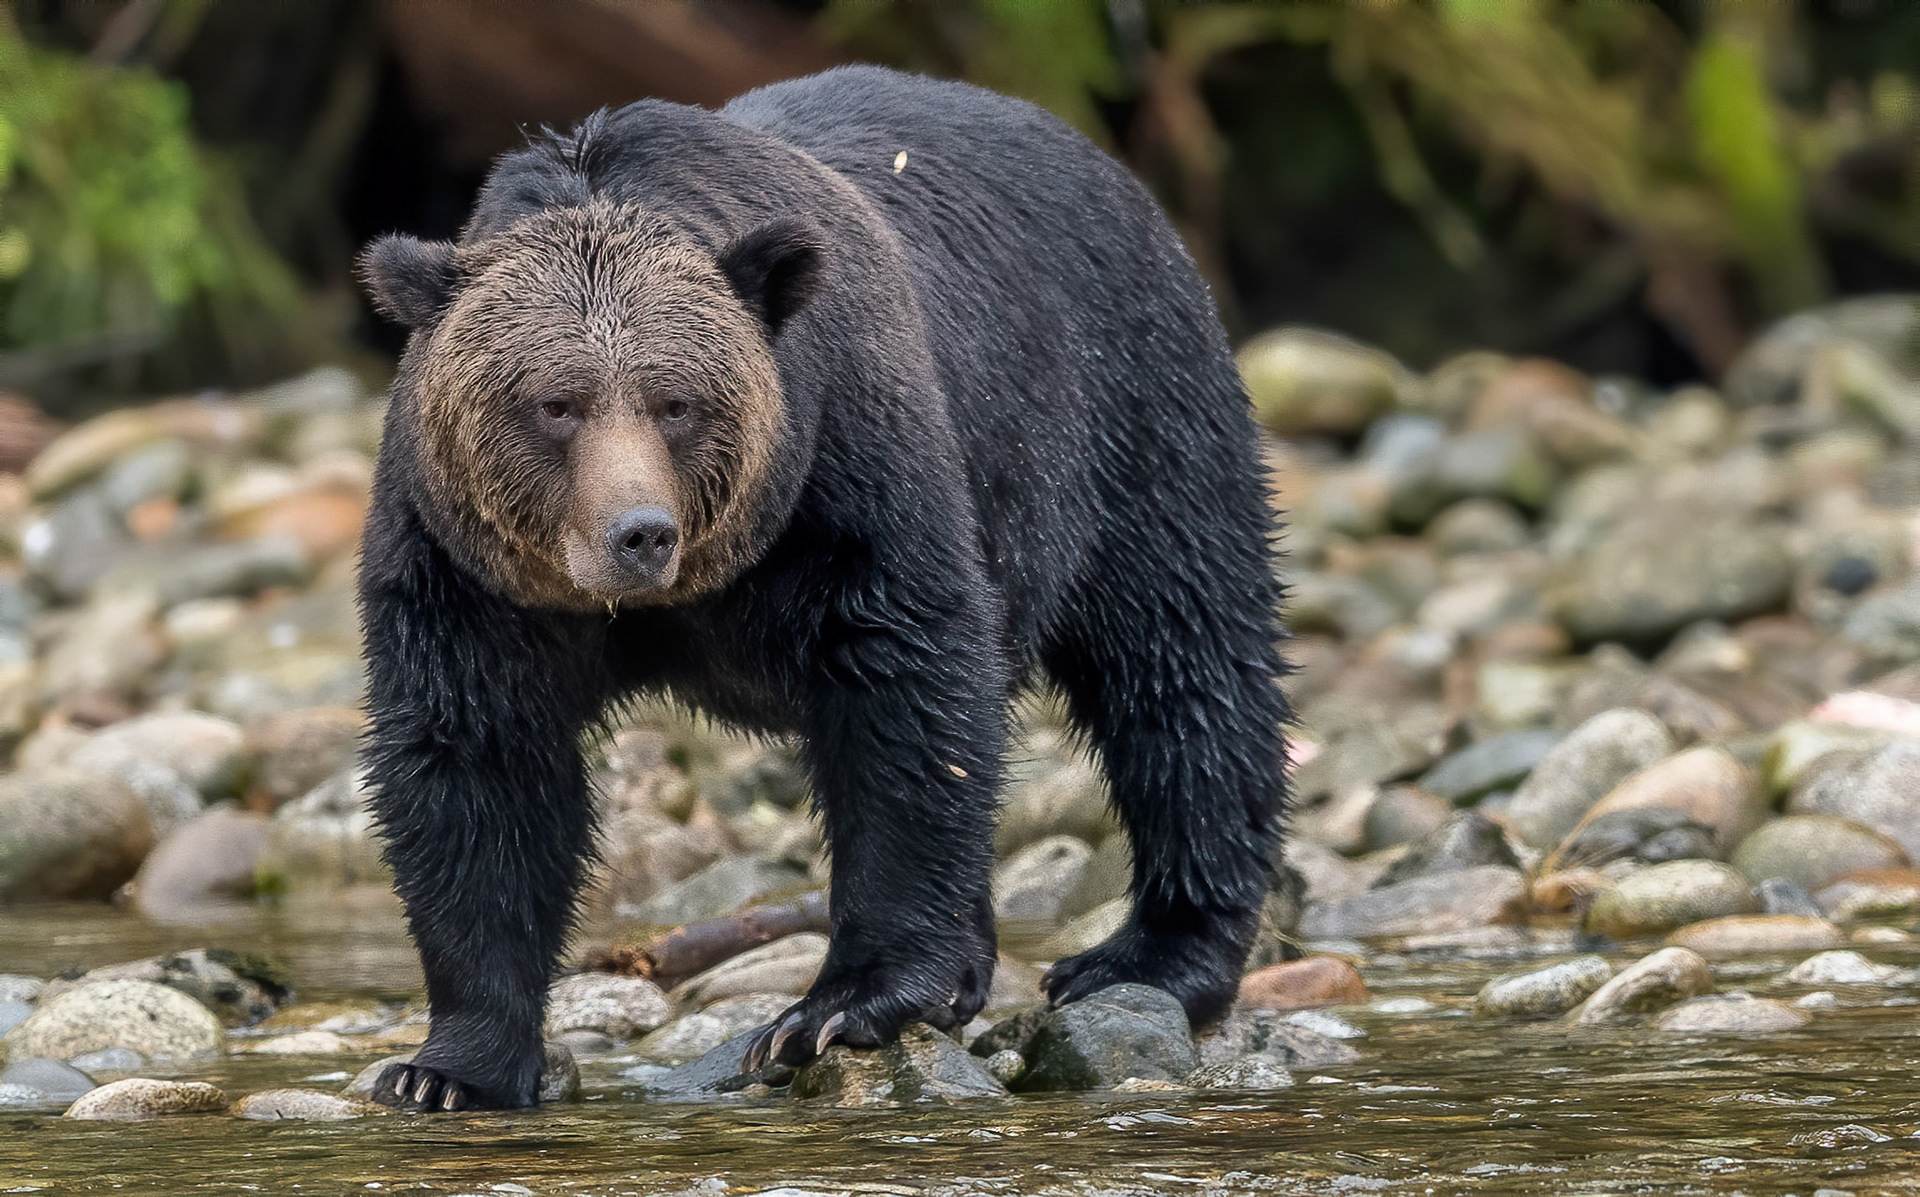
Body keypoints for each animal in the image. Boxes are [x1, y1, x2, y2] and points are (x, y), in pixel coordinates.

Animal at [355, 64, 1289, 1112]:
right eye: (556, 403)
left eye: (676, 402)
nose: (639, 533)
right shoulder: (464, 568)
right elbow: (476, 761)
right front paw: (448, 1066)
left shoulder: (846, 466)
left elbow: (905, 688)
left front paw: (842, 1004)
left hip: (1126, 414)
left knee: (1181, 666)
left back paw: (1151, 954)